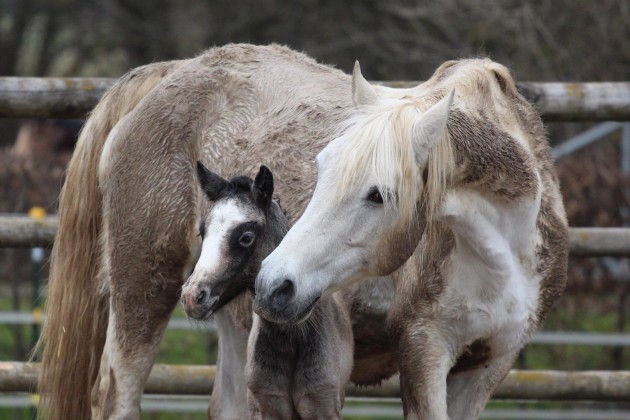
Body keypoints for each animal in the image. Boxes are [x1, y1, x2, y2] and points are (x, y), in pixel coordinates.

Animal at [181, 162, 353, 418]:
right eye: (202, 232)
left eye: (246, 237)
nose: (192, 297)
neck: (293, 337)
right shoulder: (268, 406)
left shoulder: (322, 405)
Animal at [254, 59, 569, 419]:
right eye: (321, 168)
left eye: (378, 195)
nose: (273, 284)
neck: (503, 257)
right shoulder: (424, 348)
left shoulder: (492, 362)